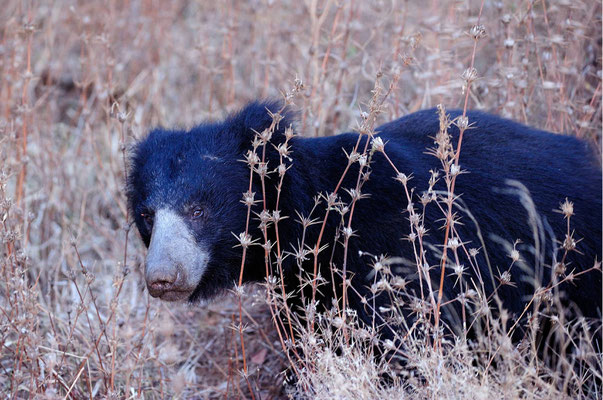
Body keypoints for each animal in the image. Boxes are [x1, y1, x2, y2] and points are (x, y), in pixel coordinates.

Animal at [127, 102, 600, 346]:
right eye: (147, 216)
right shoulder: (304, 286)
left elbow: (402, 337)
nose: (162, 278)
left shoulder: (397, 254)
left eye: (198, 209)